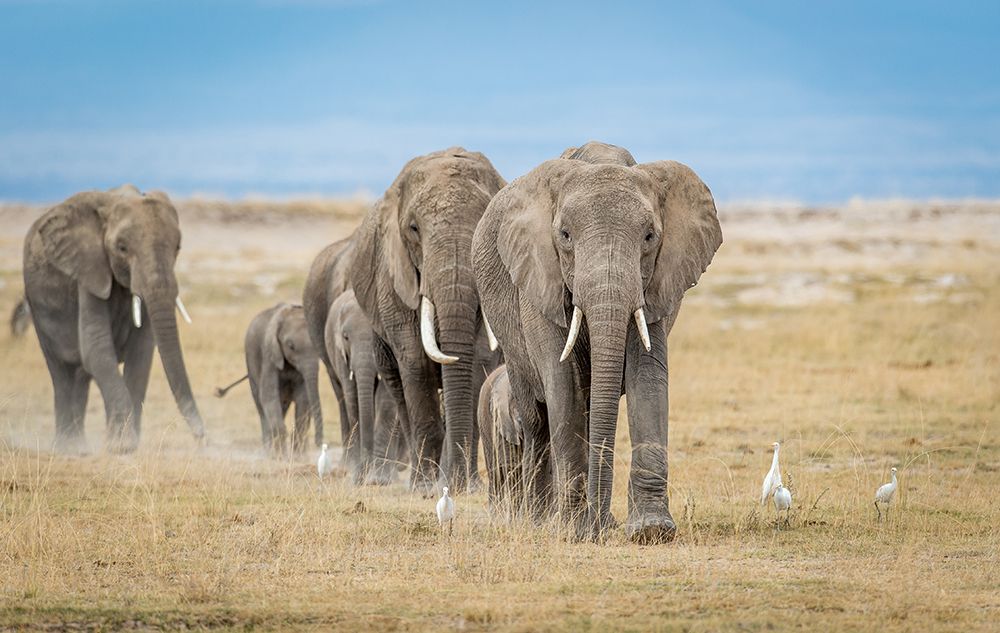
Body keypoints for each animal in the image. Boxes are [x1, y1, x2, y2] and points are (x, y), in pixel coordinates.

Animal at [21, 185, 204, 452]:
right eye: (122, 248)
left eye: (178, 247)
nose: (202, 439)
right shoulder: (89, 269)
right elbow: (97, 349)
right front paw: (122, 446)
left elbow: (141, 355)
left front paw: (126, 444)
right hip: (38, 308)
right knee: (62, 371)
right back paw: (69, 447)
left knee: (81, 375)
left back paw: (80, 446)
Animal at [220, 304, 324, 452]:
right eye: (291, 346)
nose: (319, 443)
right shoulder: (269, 356)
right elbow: (269, 396)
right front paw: (281, 455)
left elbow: (303, 398)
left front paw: (297, 455)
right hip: (252, 366)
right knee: (261, 407)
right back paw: (268, 451)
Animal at [326, 290, 408, 484]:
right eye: (346, 336)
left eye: (379, 334)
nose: (363, 471)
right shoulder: (341, 354)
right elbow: (352, 399)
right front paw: (358, 476)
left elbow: (385, 401)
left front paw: (379, 481)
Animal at [352, 147, 508, 494]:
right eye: (413, 229)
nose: (458, 484)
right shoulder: (394, 278)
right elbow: (414, 361)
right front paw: (425, 489)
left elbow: (478, 359)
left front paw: (463, 487)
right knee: (399, 390)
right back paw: (419, 480)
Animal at [472, 143, 724, 544]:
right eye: (565, 235)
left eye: (650, 237)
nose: (596, 528)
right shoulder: (539, 274)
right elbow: (562, 382)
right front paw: (575, 532)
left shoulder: (657, 282)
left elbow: (648, 376)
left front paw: (651, 531)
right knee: (537, 418)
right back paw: (540, 521)